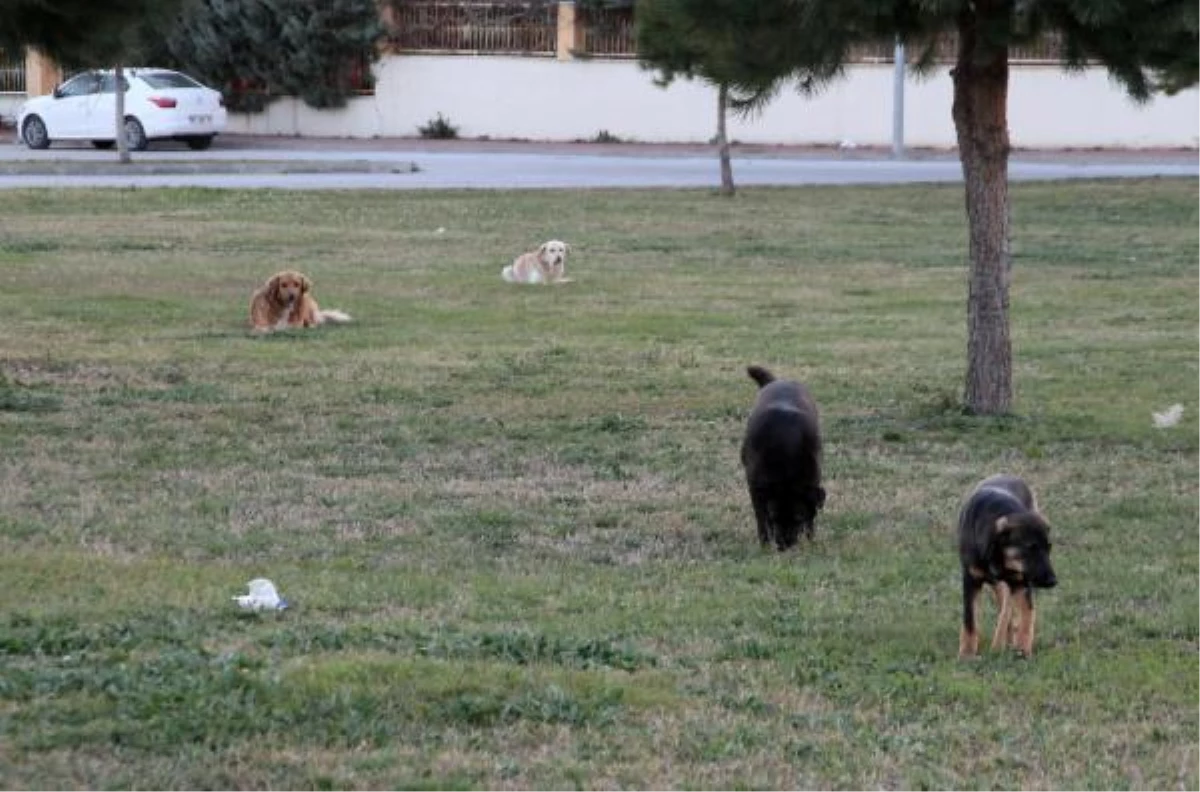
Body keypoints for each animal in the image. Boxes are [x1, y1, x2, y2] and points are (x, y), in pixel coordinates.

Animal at [739, 364, 825, 549]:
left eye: (798, 518)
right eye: (774, 517)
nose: (784, 545)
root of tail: (778, 381)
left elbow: (811, 516)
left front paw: (810, 539)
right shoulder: (755, 487)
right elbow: (761, 517)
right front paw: (764, 543)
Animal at [960, 472, 1056, 657]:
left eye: (1049, 548)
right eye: (1030, 548)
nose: (1053, 581)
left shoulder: (1020, 582)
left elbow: (1026, 615)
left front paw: (1023, 650)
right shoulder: (971, 581)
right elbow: (970, 620)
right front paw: (966, 654)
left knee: (1008, 610)